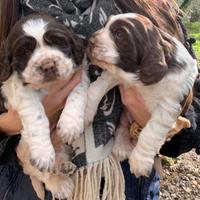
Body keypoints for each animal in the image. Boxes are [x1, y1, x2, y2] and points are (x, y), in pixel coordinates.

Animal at [0, 14, 89, 198]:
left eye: (58, 42)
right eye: (25, 51)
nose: (48, 65)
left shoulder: (79, 73)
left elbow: (77, 95)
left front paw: (70, 126)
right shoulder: (19, 89)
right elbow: (36, 115)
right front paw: (43, 153)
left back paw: (64, 167)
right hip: (24, 150)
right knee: (42, 174)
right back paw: (60, 185)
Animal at [85, 13, 198, 177]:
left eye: (119, 34)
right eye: (104, 25)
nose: (88, 41)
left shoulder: (168, 105)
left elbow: (151, 131)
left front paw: (140, 162)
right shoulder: (116, 73)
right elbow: (96, 89)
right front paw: (84, 113)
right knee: (123, 125)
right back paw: (122, 146)